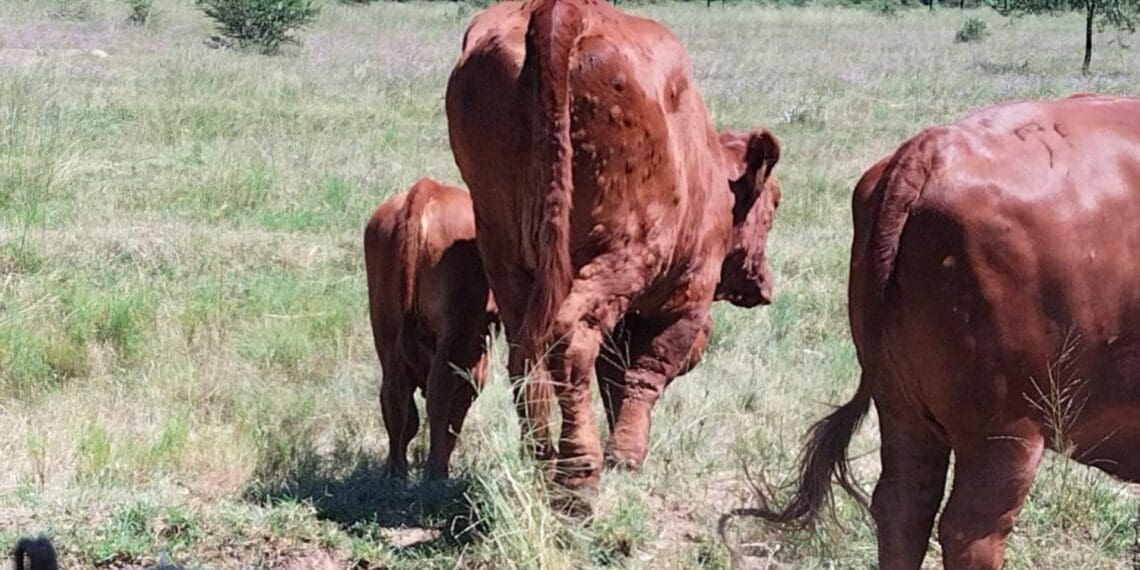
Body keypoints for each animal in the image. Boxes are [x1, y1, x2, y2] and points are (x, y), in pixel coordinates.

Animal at [363, 177, 499, 481]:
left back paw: (395, 471)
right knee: (440, 394)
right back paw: (435, 473)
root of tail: (426, 190)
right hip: (453, 335)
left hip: (385, 328)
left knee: (394, 395)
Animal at [445, 0, 782, 496]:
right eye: (774, 204)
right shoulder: (686, 301)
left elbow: (615, 378)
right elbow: (647, 373)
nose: (763, 285)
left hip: (506, 256)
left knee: (527, 354)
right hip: (621, 256)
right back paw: (578, 475)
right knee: (569, 342)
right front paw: (626, 456)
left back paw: (542, 458)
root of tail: (559, 12)